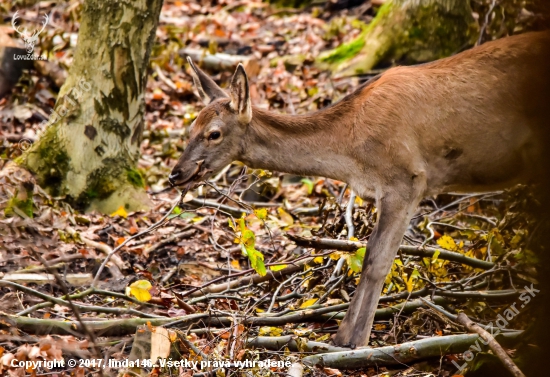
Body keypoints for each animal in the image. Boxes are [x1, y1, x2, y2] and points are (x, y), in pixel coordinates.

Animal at [169, 30, 550, 348]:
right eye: (190, 128)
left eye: (214, 133)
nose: (176, 174)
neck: (351, 156)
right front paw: (346, 337)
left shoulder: (407, 178)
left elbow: (376, 261)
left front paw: (352, 341)